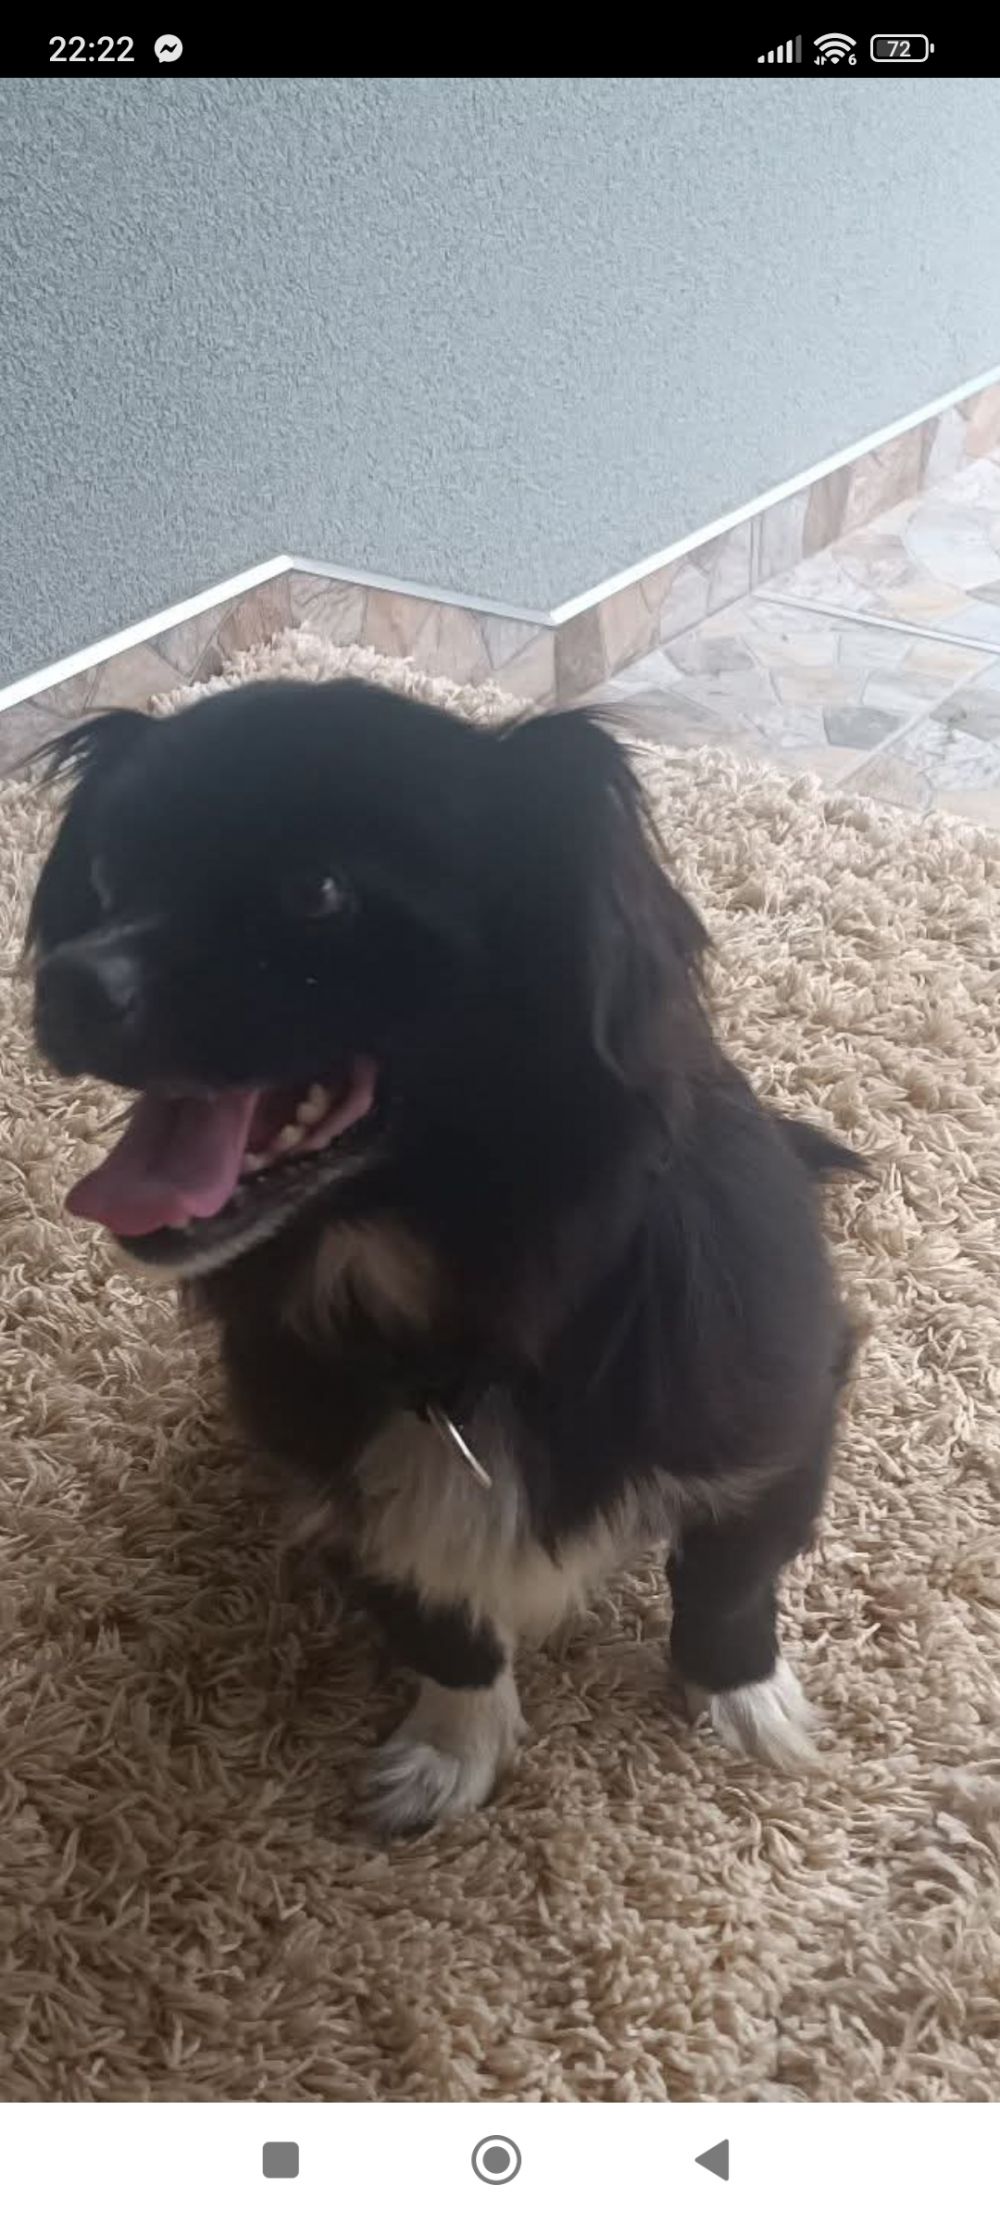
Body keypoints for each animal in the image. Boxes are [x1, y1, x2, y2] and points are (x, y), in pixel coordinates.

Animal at [29, 680, 861, 1832]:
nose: (63, 983)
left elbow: (730, 1581)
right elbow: (442, 1624)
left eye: (318, 891)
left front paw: (743, 1701)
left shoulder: (774, 1433)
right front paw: (448, 1755)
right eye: (106, 878)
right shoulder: (349, 1496)